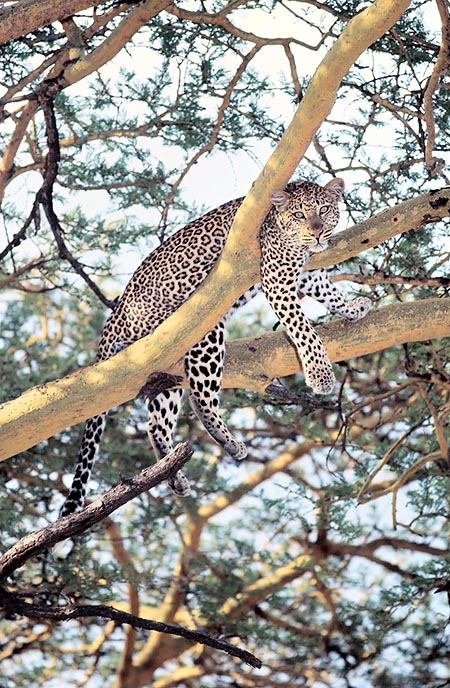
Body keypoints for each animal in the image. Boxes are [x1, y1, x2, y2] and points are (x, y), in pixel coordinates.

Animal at [59, 177, 370, 516]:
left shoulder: (303, 274)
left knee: (156, 423)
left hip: (167, 363)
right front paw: (320, 375)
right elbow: (303, 330)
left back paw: (174, 476)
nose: (316, 232)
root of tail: (114, 318)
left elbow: (329, 290)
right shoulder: (277, 280)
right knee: (200, 399)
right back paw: (228, 441)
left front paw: (353, 308)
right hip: (203, 331)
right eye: (299, 214)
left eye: (324, 209)